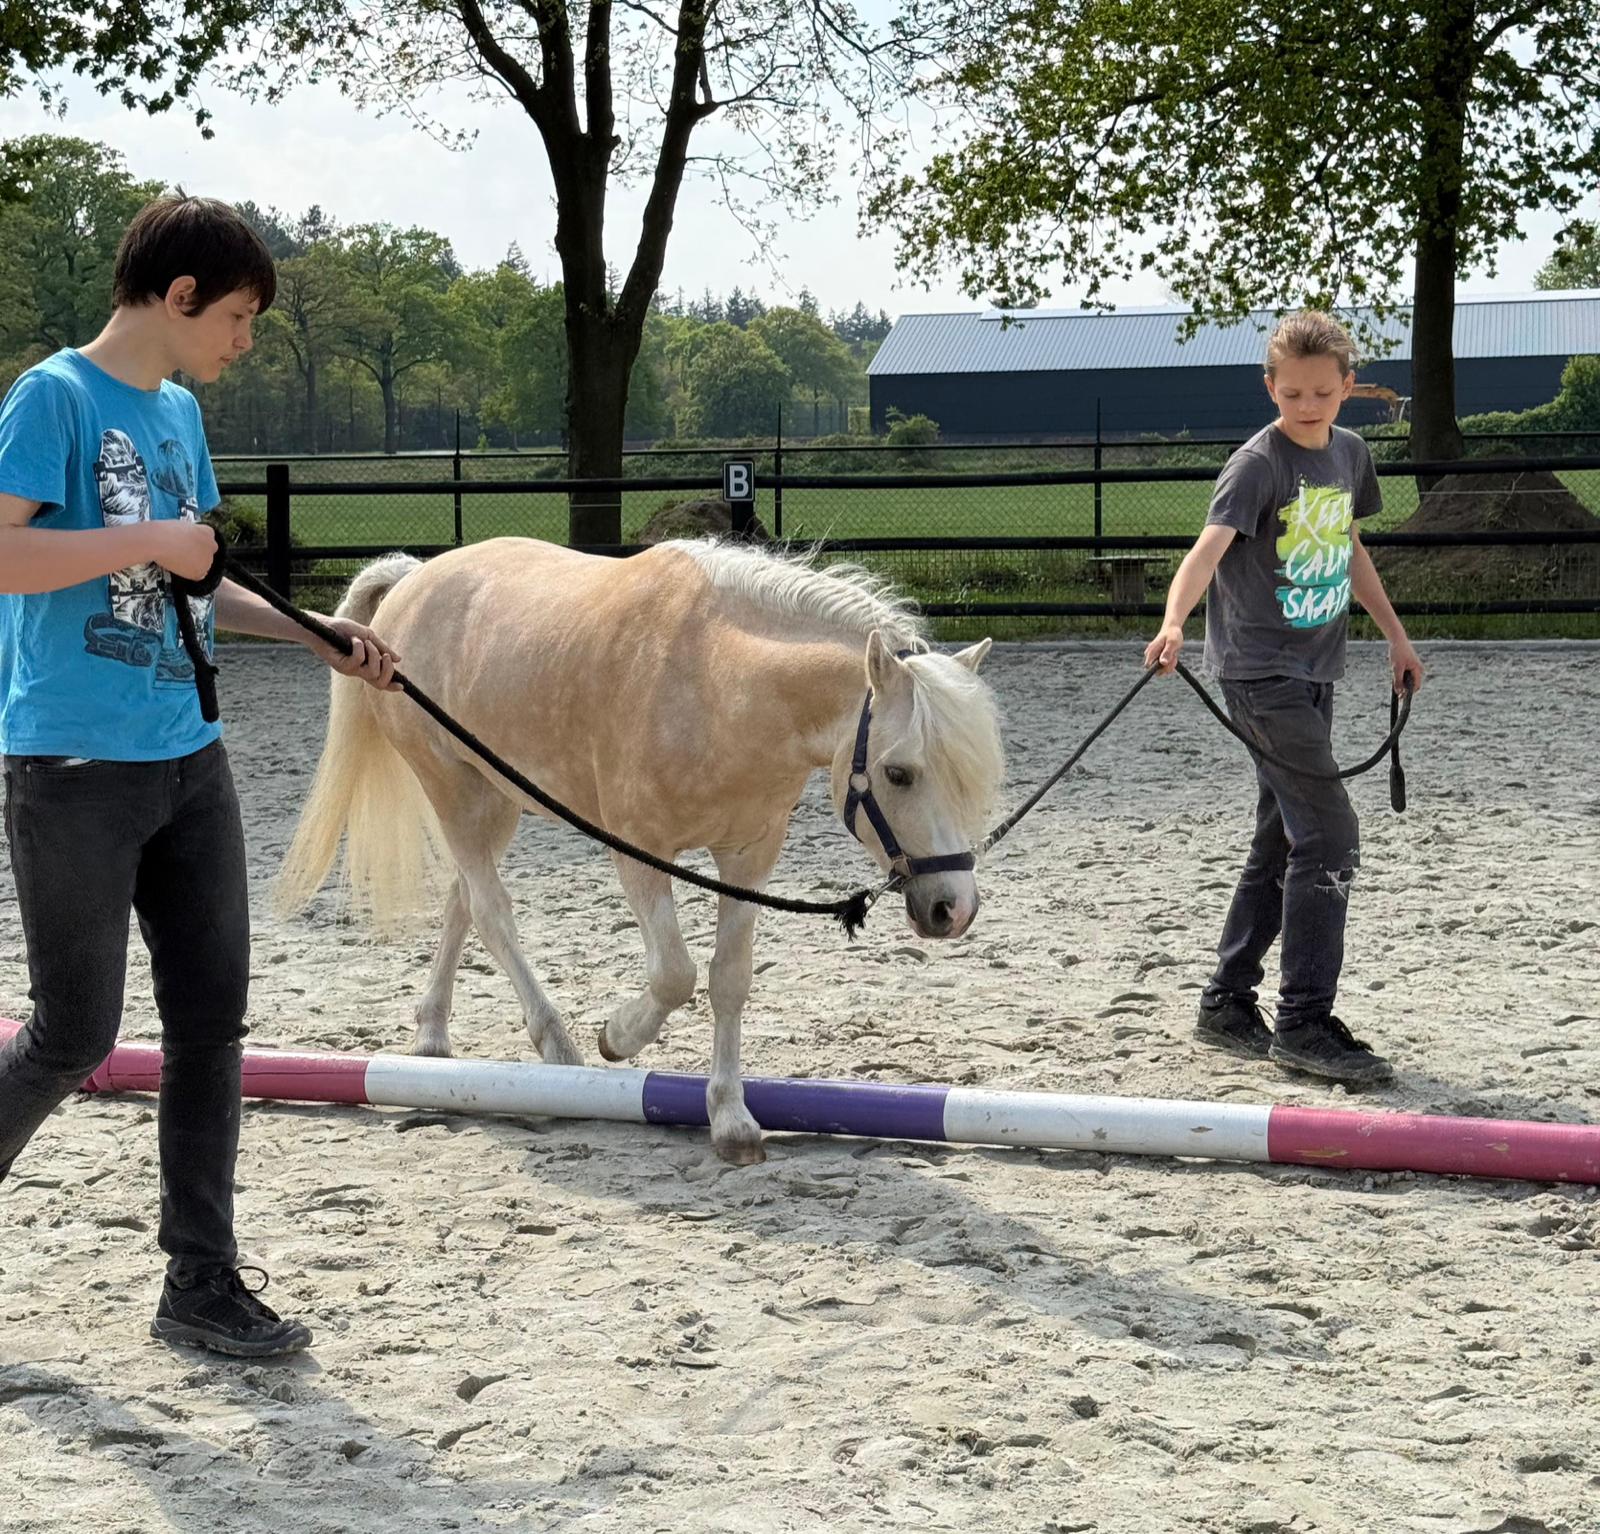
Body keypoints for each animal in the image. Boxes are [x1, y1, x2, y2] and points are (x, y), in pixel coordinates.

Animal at [276, 536, 1004, 1164]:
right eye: (898, 773)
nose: (953, 909)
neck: (721, 680)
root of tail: (413, 579)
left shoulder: (749, 857)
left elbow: (729, 979)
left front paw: (730, 1117)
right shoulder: (637, 851)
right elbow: (674, 975)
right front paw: (617, 1038)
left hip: (497, 797)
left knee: (463, 902)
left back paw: (432, 1033)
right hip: (453, 789)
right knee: (490, 911)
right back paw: (559, 1051)